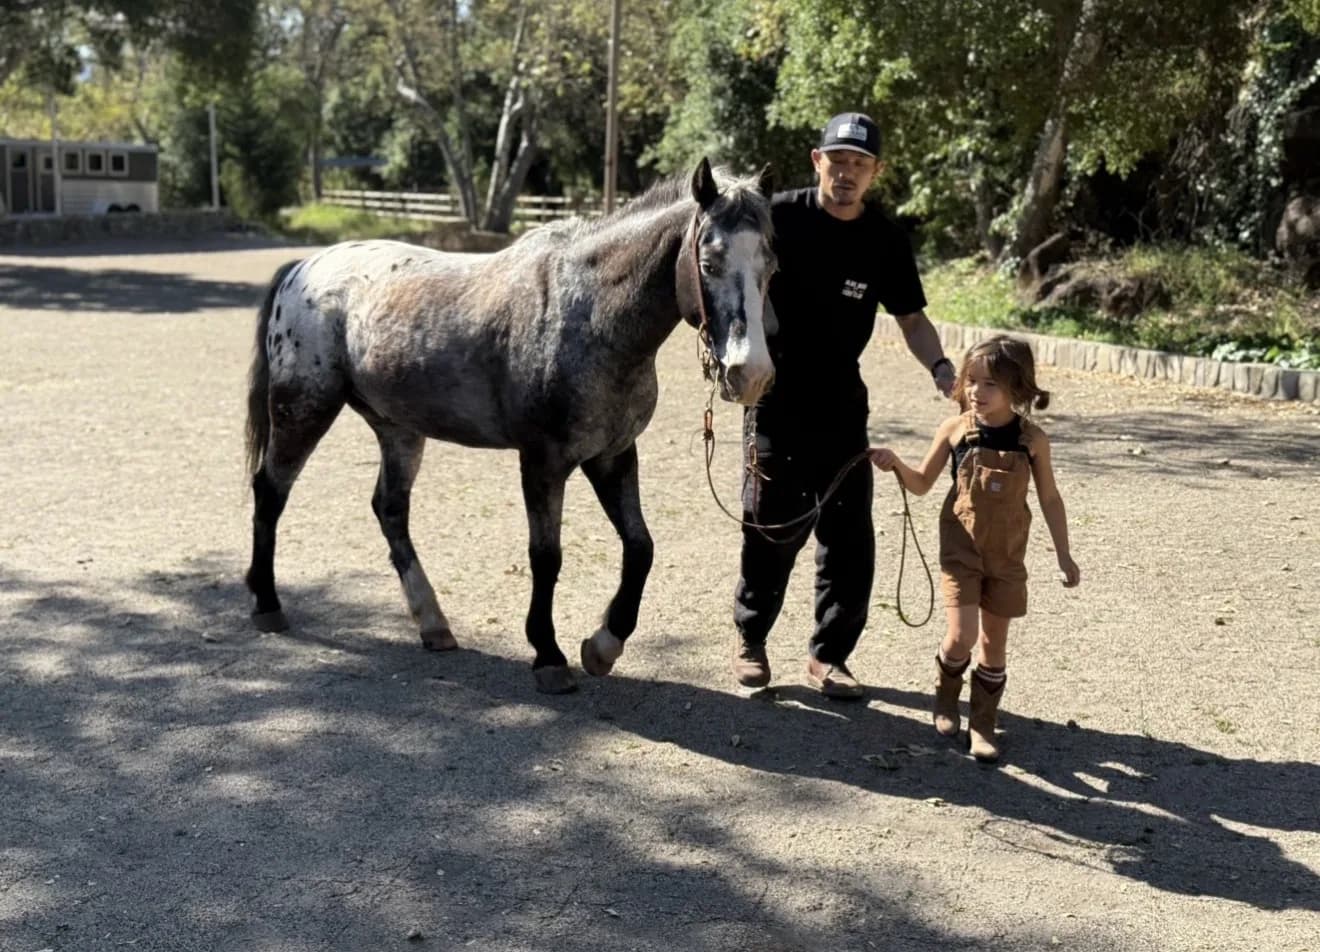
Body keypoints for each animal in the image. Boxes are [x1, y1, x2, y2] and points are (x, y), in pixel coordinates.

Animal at [243, 158, 777, 693]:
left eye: (770, 266)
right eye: (708, 263)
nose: (750, 373)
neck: (588, 315)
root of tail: (302, 269)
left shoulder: (612, 455)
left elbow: (640, 548)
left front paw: (603, 646)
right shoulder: (543, 462)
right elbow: (546, 556)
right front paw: (548, 655)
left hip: (398, 429)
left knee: (390, 510)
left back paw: (433, 623)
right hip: (303, 409)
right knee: (270, 492)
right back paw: (267, 603)